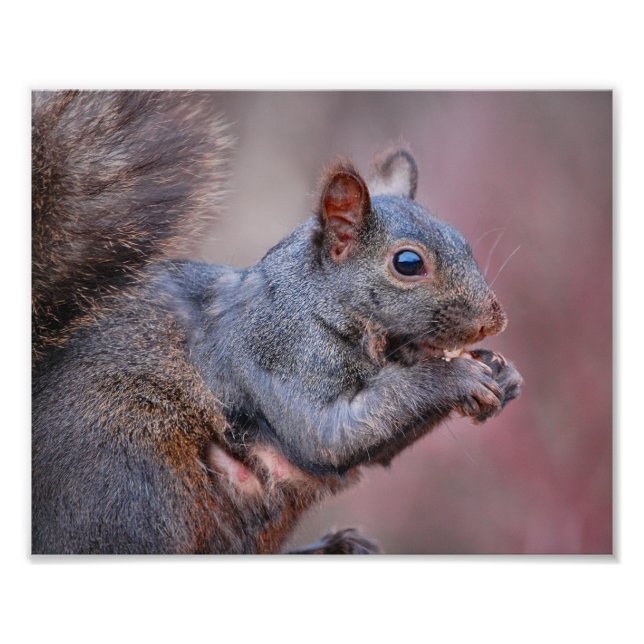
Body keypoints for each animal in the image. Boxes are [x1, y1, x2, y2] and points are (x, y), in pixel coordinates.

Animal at [32, 91, 523, 554]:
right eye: (408, 263)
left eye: (462, 240)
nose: (493, 321)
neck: (317, 306)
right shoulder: (276, 355)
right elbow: (329, 435)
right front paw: (454, 377)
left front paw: (503, 372)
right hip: (132, 482)